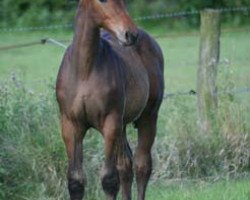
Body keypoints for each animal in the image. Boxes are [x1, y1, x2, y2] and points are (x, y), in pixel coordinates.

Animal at [55, 0, 164, 200]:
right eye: (103, 1)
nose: (130, 34)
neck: (84, 71)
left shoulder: (110, 123)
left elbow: (109, 180)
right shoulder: (70, 125)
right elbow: (75, 181)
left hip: (148, 117)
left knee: (142, 165)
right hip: (122, 124)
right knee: (126, 165)